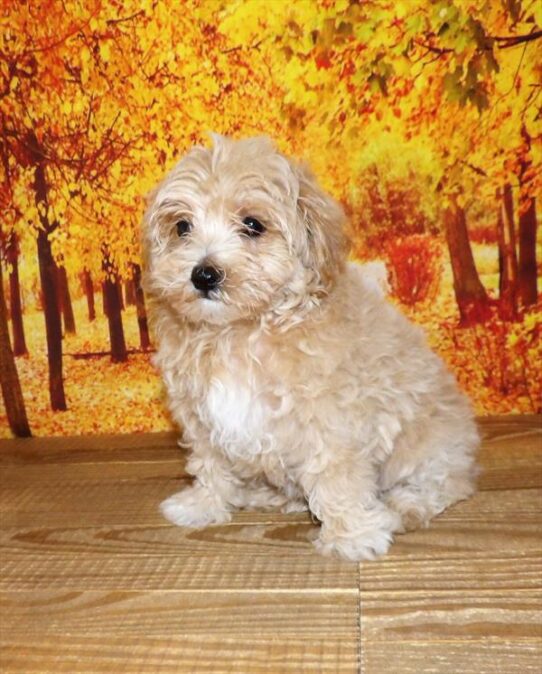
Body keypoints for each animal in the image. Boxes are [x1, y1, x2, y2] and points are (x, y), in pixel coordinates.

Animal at [143, 134, 480, 560]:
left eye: (253, 224)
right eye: (182, 226)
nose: (203, 275)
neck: (239, 331)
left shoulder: (332, 418)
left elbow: (336, 473)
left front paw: (353, 536)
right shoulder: (200, 415)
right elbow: (210, 462)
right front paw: (203, 504)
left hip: (430, 446)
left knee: (445, 485)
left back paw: (403, 506)